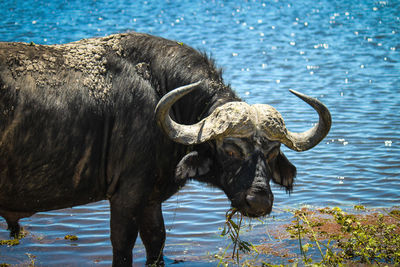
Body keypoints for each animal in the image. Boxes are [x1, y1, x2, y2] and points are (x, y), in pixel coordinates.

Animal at [0, 32, 332, 266]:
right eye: (230, 149)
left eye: (273, 152)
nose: (259, 201)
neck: (158, 90)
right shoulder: (126, 196)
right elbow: (122, 247)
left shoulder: (150, 200)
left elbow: (156, 241)